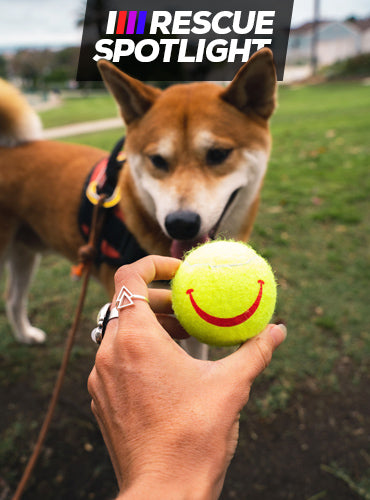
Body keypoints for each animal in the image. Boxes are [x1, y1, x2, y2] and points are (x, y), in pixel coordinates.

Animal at [0, 48, 276, 358]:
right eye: (157, 160)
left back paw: (25, 335)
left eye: (218, 154)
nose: (180, 224)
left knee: (13, 298)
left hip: (24, 252)